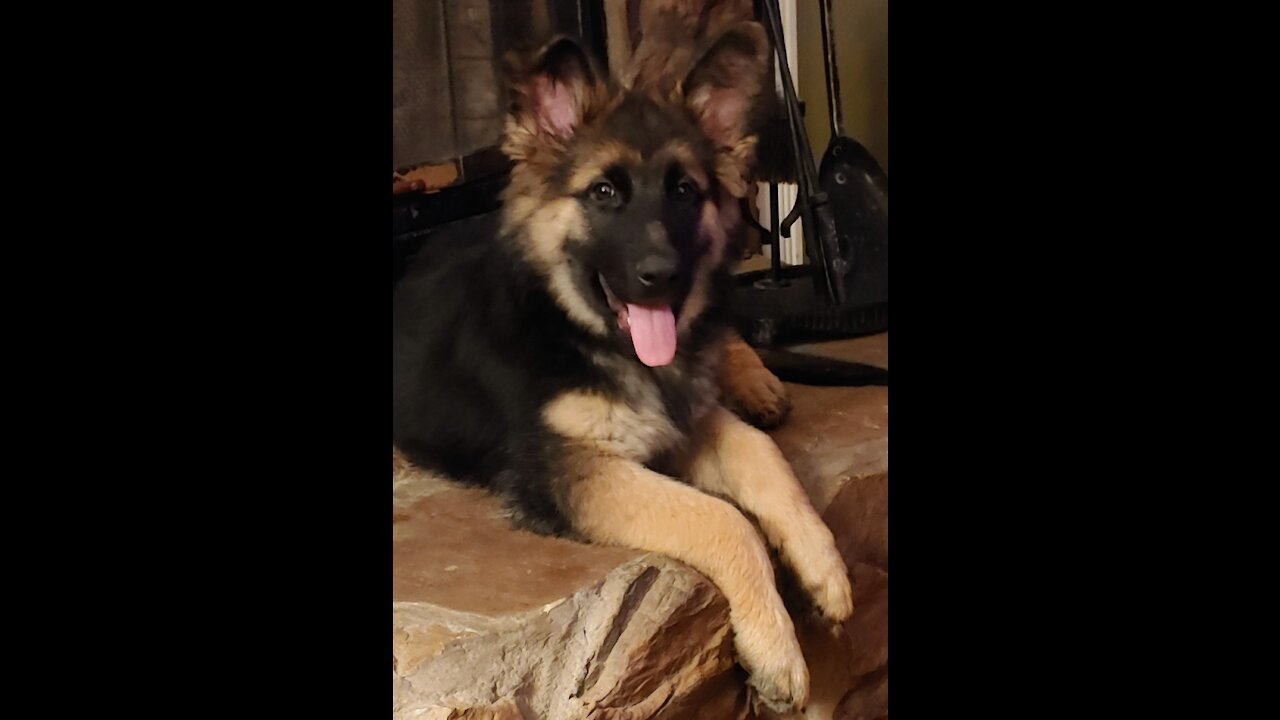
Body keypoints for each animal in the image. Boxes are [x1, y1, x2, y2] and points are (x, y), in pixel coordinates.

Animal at [389, 22, 849, 712]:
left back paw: (756, 380)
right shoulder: (574, 468)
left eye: (685, 191)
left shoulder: (686, 420)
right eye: (603, 193)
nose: (662, 277)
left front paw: (825, 569)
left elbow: (765, 458)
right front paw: (775, 649)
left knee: (727, 339)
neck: (577, 326)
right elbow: (723, 518)